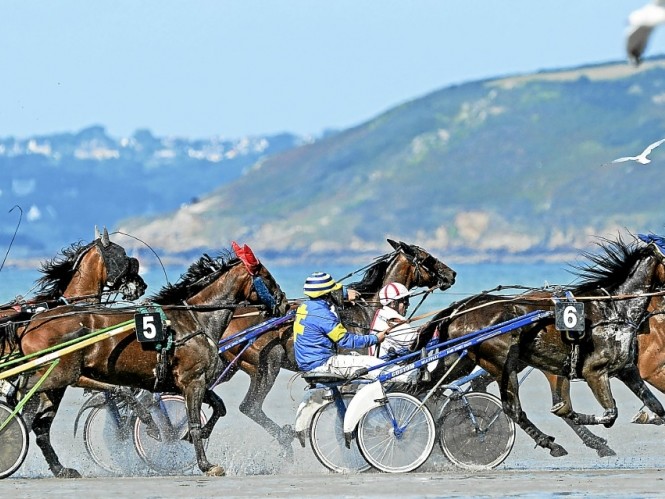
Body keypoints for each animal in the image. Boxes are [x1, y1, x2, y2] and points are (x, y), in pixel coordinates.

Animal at [10, 244, 286, 478]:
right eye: (268, 277)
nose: (283, 303)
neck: (194, 320)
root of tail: (32, 323)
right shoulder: (193, 380)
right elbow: (195, 421)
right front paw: (206, 464)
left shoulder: (184, 382)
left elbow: (219, 407)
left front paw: (186, 438)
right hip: (57, 374)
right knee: (23, 396)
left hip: (57, 383)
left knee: (40, 423)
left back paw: (61, 468)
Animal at [215, 240, 454, 458]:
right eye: (426, 258)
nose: (451, 274)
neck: (367, 312)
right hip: (268, 364)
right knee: (249, 406)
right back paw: (285, 439)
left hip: (228, 368)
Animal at [416, 236, 664, 458]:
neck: (613, 310)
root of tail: (460, 310)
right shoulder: (595, 371)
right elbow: (609, 414)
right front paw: (575, 415)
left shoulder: (627, 370)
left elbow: (656, 406)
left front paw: (648, 416)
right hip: (502, 364)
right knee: (512, 409)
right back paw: (551, 443)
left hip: (460, 360)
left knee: (425, 388)